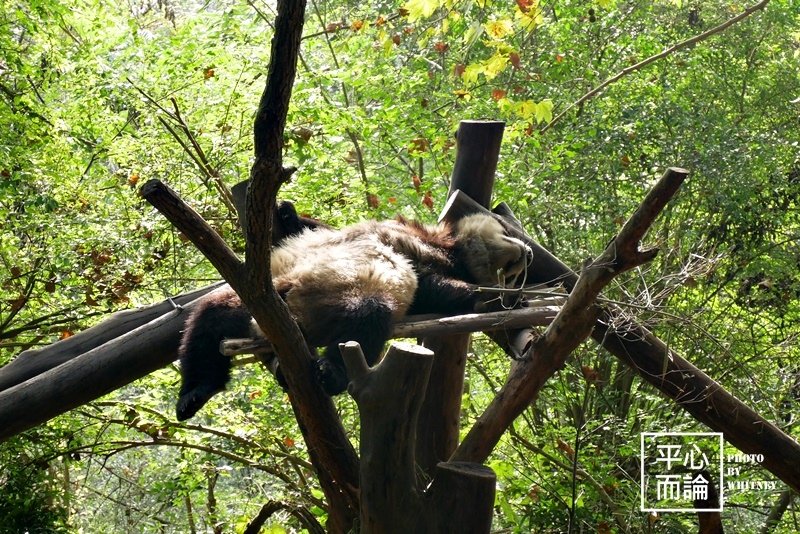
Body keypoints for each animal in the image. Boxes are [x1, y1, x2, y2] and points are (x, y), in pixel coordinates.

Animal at [178, 206, 536, 422]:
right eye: (508, 233)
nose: (529, 253)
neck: (452, 248)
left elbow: (434, 290)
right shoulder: (412, 242)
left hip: (257, 302)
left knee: (207, 324)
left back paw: (195, 394)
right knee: (368, 317)